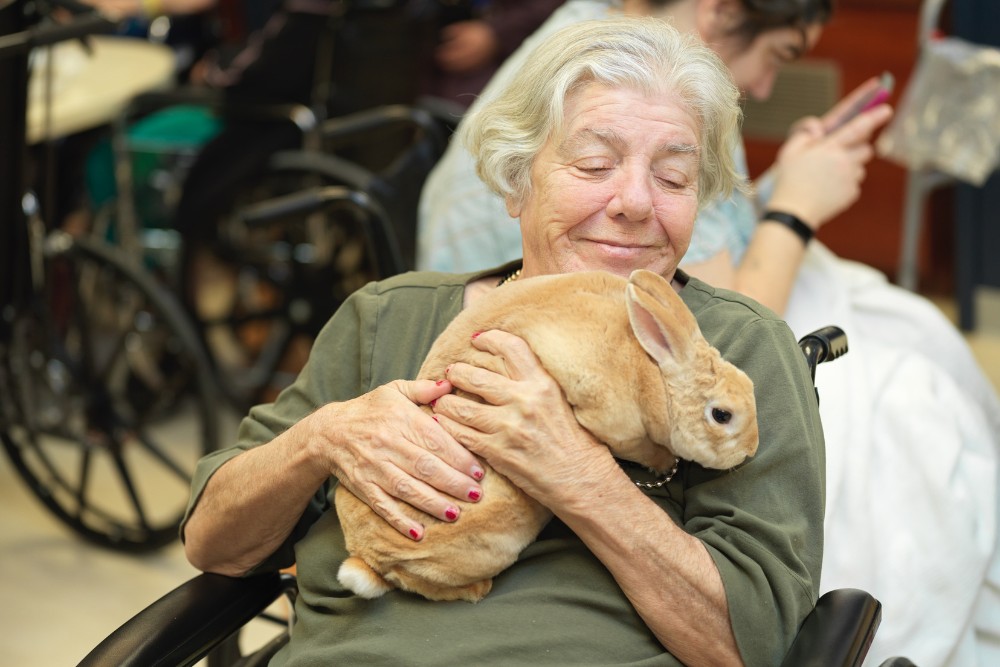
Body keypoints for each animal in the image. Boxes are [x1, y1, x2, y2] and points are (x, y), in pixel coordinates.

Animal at [336, 268, 756, 604]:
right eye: (721, 415)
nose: (751, 452)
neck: (652, 370)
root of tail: (370, 557)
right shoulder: (612, 418)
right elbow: (638, 447)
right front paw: (664, 460)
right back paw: (478, 590)